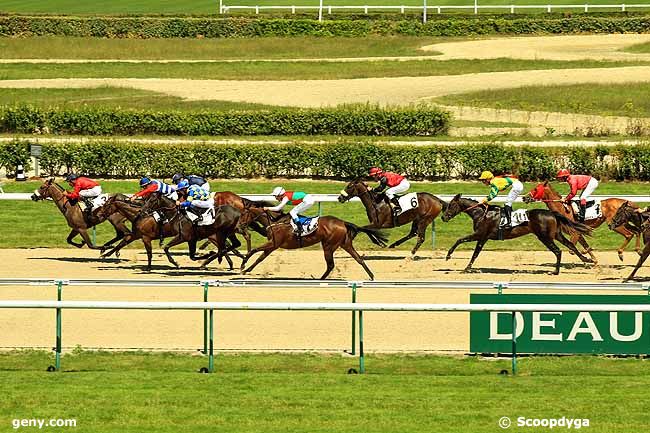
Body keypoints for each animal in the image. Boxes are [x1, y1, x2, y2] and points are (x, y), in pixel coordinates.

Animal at [240, 207, 388, 280]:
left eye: (243, 214)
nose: (240, 225)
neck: (275, 221)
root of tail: (342, 222)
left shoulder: (273, 244)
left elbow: (253, 250)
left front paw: (243, 265)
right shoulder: (272, 245)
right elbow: (260, 258)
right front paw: (247, 269)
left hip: (328, 246)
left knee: (330, 265)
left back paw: (319, 279)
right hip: (345, 244)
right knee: (359, 259)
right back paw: (371, 276)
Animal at [440, 195, 592, 276]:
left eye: (451, 205)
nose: (443, 217)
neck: (481, 213)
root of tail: (552, 213)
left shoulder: (480, 235)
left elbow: (464, 244)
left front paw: (454, 260)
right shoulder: (483, 237)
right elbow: (470, 248)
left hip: (544, 237)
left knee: (558, 251)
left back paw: (555, 271)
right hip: (556, 234)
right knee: (570, 245)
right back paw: (587, 260)